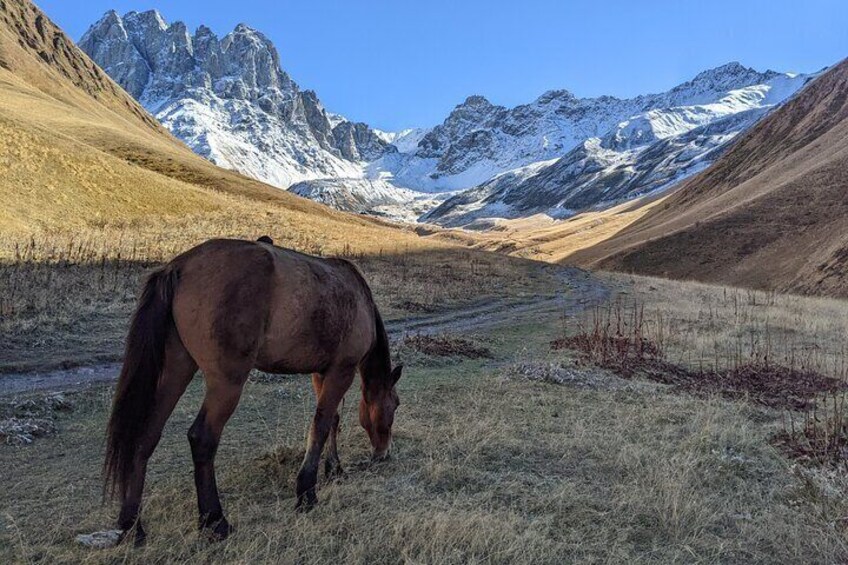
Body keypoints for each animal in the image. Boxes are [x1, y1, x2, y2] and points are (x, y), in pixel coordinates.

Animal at [103, 237, 403, 545]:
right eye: (395, 404)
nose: (384, 453)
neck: (359, 298)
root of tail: (179, 266)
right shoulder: (341, 371)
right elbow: (320, 425)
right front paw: (306, 492)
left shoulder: (323, 373)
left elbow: (333, 421)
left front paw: (334, 470)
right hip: (226, 382)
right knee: (202, 438)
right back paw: (215, 521)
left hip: (176, 368)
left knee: (145, 435)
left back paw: (132, 527)